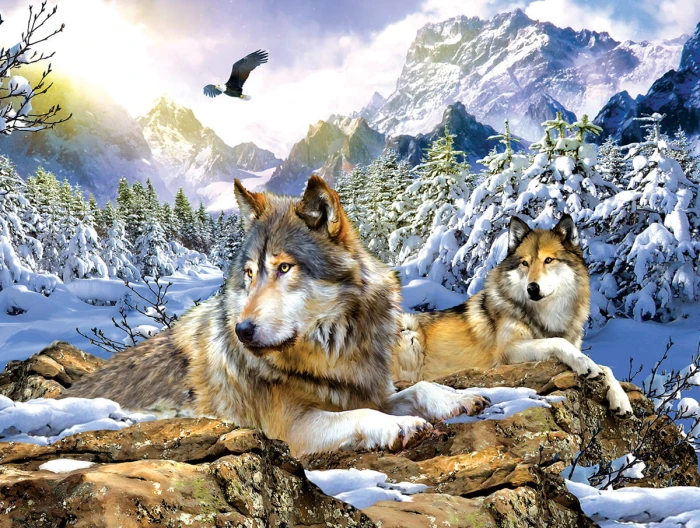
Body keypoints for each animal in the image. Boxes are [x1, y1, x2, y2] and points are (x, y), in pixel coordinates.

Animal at [67, 175, 489, 456]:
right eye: (250, 274)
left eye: (284, 268)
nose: (242, 330)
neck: (333, 353)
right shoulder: (292, 428)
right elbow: (361, 415)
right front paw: (400, 425)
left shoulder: (370, 389)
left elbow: (420, 387)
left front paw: (460, 398)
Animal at [393, 215, 633, 416]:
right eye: (525, 263)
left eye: (548, 260)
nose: (532, 288)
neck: (547, 315)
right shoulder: (507, 352)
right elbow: (558, 342)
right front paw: (585, 364)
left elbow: (606, 368)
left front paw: (621, 399)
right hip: (409, 331)